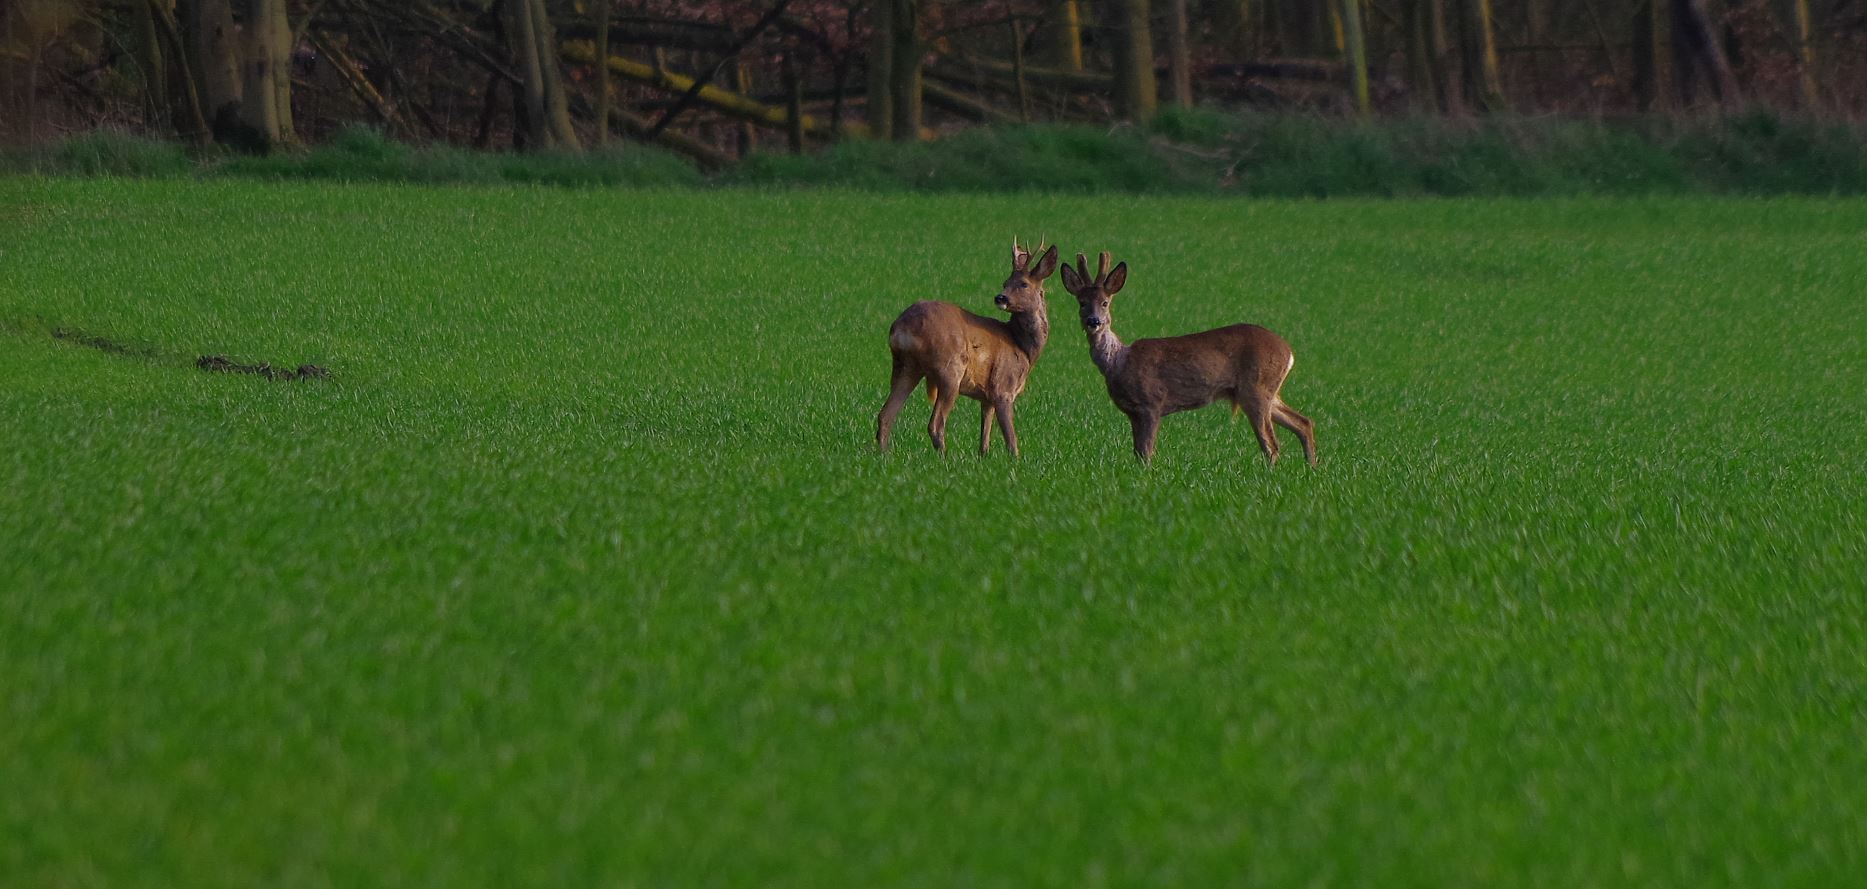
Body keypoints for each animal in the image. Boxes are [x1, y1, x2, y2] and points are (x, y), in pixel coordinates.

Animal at [870, 240, 1060, 455]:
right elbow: (1011, 441)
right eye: (1005, 283)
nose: (1000, 298)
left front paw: (984, 457)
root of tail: (902, 326)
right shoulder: (1003, 388)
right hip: (949, 370)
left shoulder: (987, 398)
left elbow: (984, 440)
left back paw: (884, 454)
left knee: (885, 415)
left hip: (905, 366)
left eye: (1023, 283)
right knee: (935, 424)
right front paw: (1015, 460)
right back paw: (944, 457)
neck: (1022, 347)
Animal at [1060, 252, 1321, 465]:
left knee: (1272, 445)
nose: (1094, 321)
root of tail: (1288, 352)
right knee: (1303, 423)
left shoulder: (1152, 403)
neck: (1119, 362)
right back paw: (1311, 468)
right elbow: (1137, 454)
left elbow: (1146, 454)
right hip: (1266, 392)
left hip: (1256, 388)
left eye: (1105, 303)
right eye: (1082, 303)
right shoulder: (1132, 412)